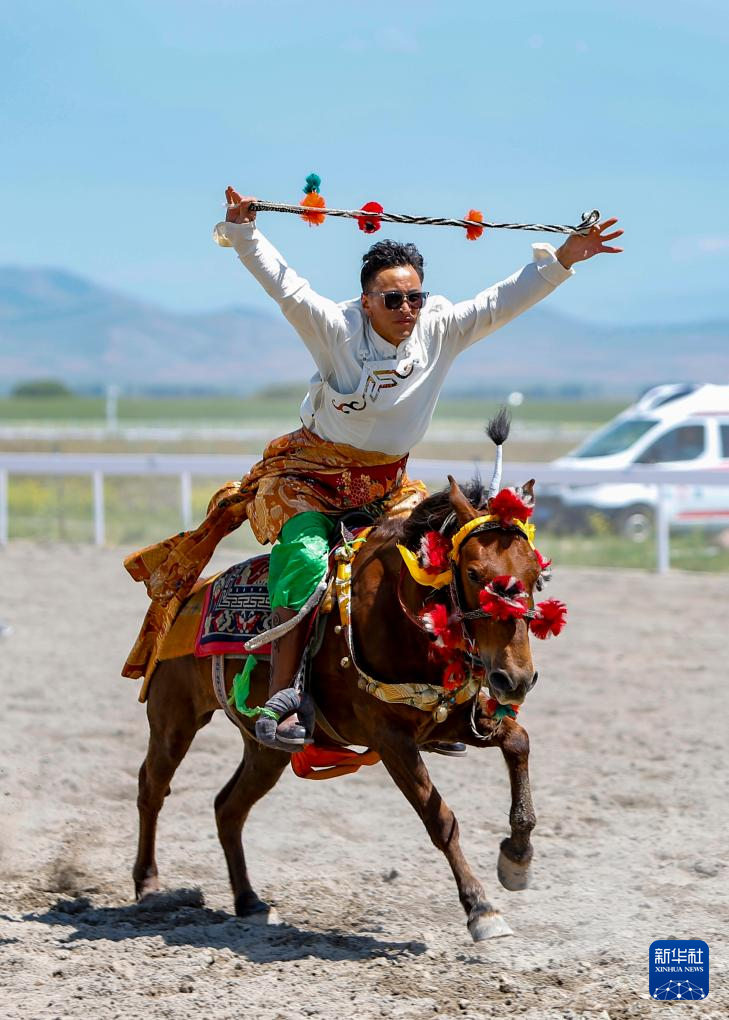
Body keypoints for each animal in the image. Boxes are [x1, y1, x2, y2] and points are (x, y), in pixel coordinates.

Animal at [132, 424, 557, 943]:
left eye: (536, 575)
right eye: (475, 574)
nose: (516, 678)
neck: (399, 618)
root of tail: (188, 595)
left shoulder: (452, 721)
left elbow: (518, 743)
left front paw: (517, 856)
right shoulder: (392, 740)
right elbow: (439, 818)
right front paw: (481, 909)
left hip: (267, 749)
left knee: (227, 806)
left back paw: (249, 900)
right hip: (174, 720)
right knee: (152, 787)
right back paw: (148, 884)